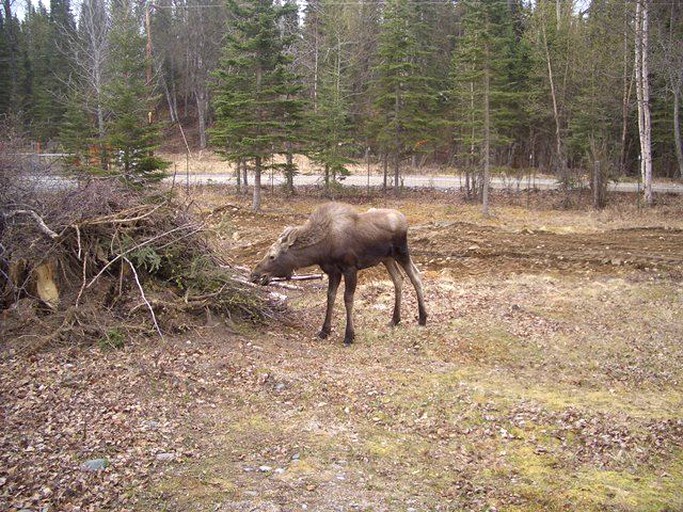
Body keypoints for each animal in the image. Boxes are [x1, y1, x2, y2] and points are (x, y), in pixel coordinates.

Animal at [250, 202, 428, 346]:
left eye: (272, 256)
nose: (254, 275)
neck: (321, 251)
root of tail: (404, 219)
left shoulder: (350, 268)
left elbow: (348, 299)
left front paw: (349, 335)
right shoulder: (333, 271)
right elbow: (330, 297)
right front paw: (324, 330)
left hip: (401, 252)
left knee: (416, 276)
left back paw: (422, 318)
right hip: (387, 258)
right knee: (398, 279)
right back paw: (395, 319)